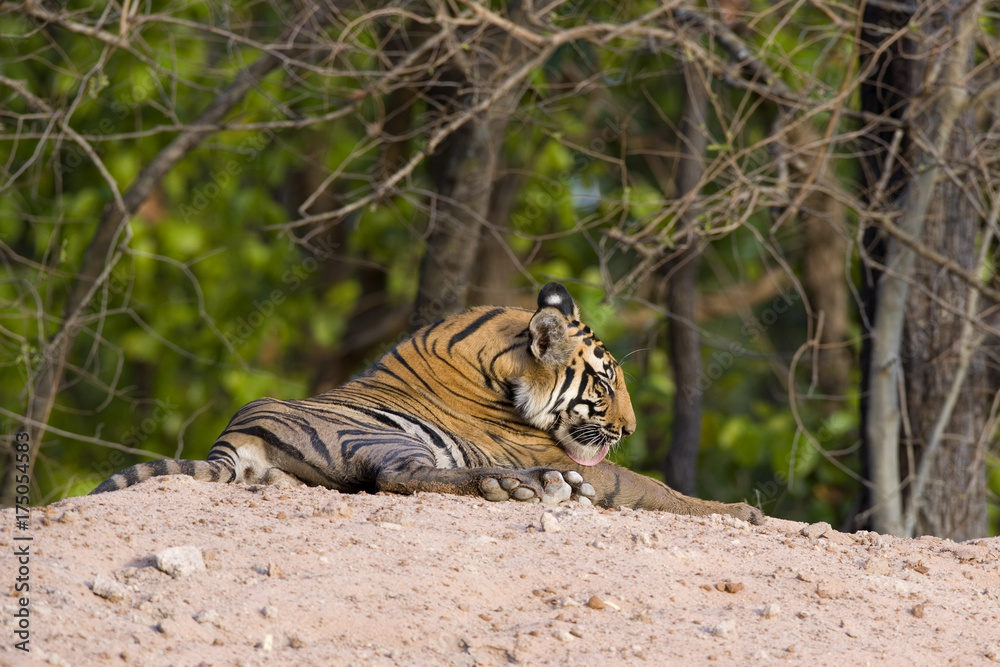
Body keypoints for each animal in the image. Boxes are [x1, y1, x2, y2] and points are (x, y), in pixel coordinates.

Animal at [91, 282, 764, 525]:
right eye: (603, 387)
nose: (628, 429)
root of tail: (235, 433)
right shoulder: (572, 457)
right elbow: (655, 488)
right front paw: (743, 511)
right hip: (383, 435)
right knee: (399, 477)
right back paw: (531, 485)